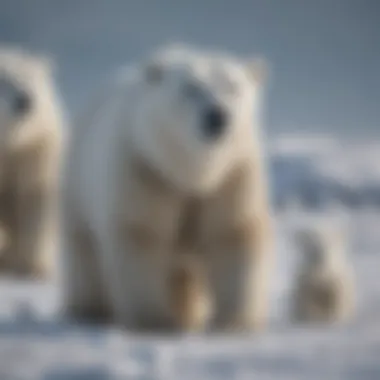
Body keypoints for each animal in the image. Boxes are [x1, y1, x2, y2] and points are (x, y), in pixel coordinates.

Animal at [0, 46, 65, 280]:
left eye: (33, 79)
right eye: (3, 80)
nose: (25, 100)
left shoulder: (34, 152)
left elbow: (36, 200)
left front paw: (34, 268)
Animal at [63, 43, 274, 332]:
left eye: (233, 87)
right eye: (191, 88)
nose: (218, 117)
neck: (190, 174)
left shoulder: (231, 179)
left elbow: (232, 236)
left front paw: (233, 323)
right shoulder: (145, 172)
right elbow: (141, 236)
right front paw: (154, 322)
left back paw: (188, 316)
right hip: (79, 184)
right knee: (86, 255)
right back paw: (90, 310)